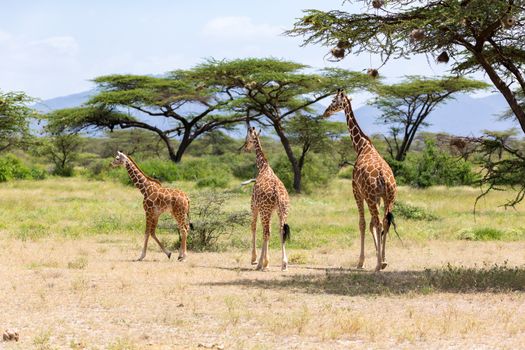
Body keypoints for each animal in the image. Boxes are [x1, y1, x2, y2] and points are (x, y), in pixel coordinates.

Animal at [243, 126, 290, 270]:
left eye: (248, 140)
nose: (244, 148)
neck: (263, 167)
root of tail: (278, 193)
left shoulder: (254, 205)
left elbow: (253, 227)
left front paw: (255, 259)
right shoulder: (272, 210)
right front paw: (266, 261)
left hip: (264, 210)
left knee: (266, 232)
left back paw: (260, 264)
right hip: (282, 211)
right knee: (280, 231)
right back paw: (284, 263)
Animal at [322, 89, 396, 272]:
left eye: (334, 101)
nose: (325, 112)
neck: (361, 146)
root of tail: (384, 178)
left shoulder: (356, 191)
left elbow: (362, 223)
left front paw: (361, 261)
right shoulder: (378, 198)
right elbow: (371, 225)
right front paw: (379, 257)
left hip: (369, 197)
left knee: (378, 222)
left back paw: (377, 265)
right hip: (390, 197)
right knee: (385, 222)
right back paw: (383, 261)